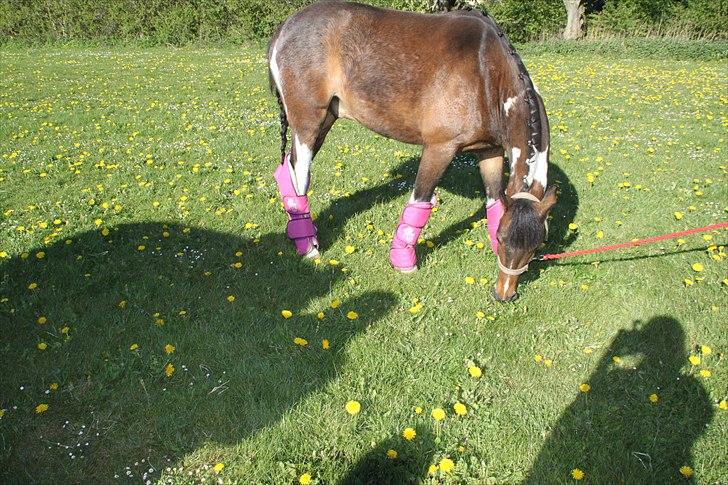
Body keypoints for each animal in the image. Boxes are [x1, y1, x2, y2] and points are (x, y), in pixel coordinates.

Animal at [268, 0, 556, 302]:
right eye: (503, 238)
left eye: (538, 245)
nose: (504, 294)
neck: (486, 73)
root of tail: (285, 27)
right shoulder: (439, 149)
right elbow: (420, 200)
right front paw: (403, 261)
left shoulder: (489, 151)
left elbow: (494, 201)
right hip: (308, 123)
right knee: (300, 175)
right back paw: (308, 247)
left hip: (327, 119)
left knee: (288, 168)